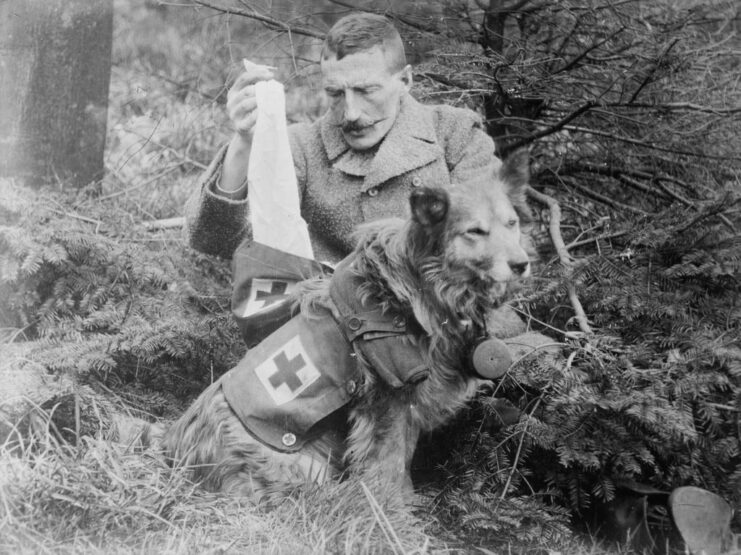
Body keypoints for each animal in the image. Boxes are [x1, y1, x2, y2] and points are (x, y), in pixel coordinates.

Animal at [162, 154, 532, 502]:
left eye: (511, 224)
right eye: (475, 231)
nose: (521, 264)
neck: (418, 288)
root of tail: (176, 455)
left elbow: (402, 463)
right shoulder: (388, 404)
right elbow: (388, 466)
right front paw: (392, 514)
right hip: (300, 465)